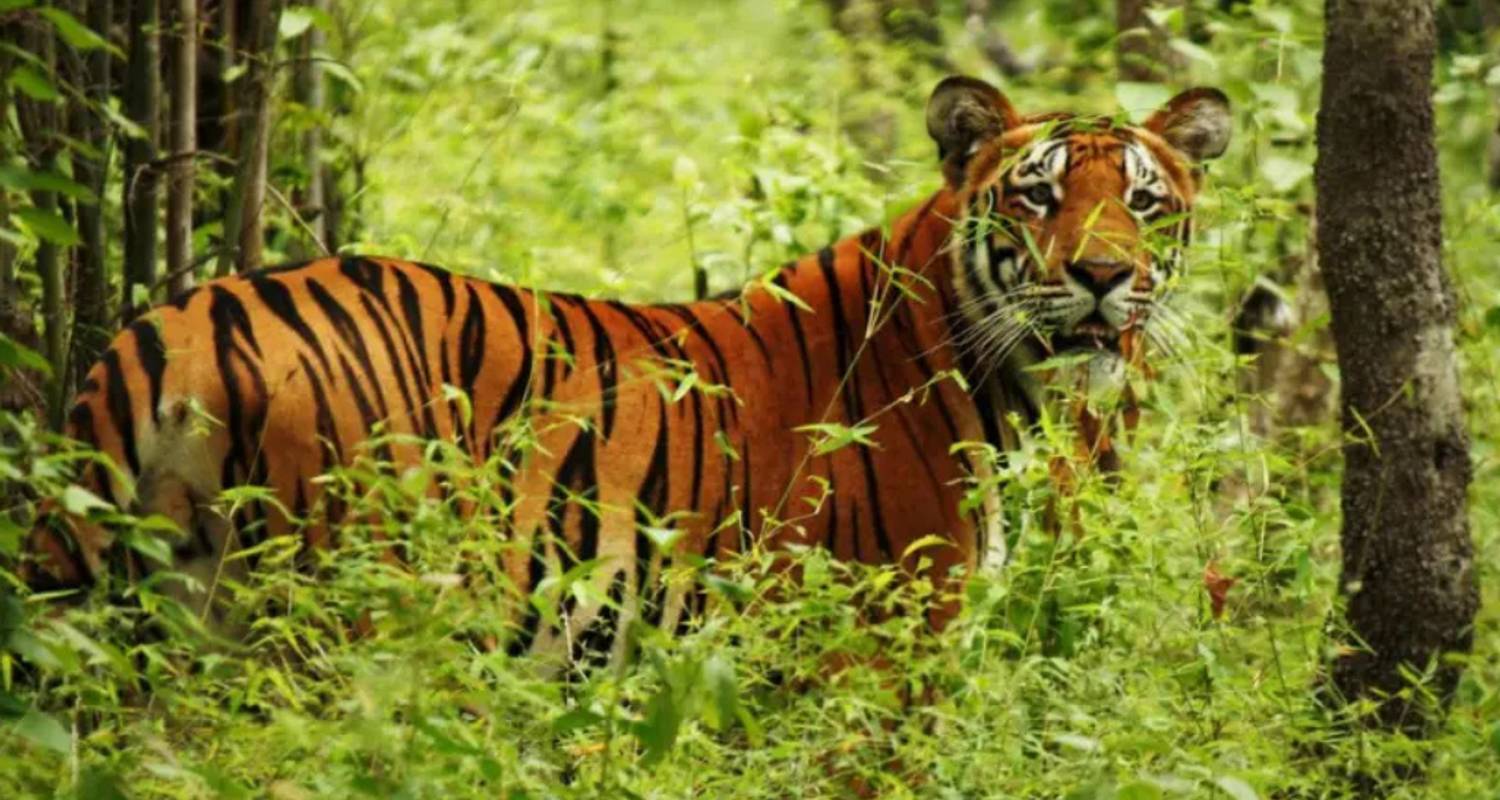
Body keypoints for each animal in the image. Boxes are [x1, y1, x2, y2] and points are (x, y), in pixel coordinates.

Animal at [20, 78, 1230, 666]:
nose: (1105, 277)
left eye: (1144, 200)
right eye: (1037, 195)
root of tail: (180, 319)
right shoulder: (881, 650)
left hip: (162, 612)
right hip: (346, 610)